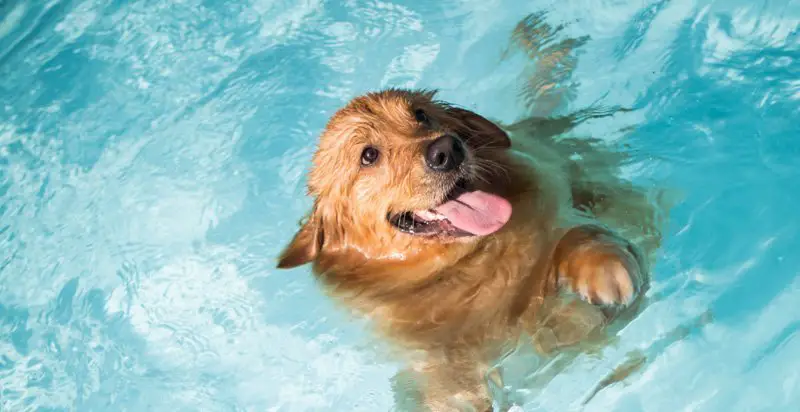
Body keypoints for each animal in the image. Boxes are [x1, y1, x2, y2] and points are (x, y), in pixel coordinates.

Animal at [278, 88, 664, 410]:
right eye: (368, 155)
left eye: (421, 115)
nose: (446, 150)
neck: (464, 262)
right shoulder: (426, 354)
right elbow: (442, 374)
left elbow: (572, 233)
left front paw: (602, 266)